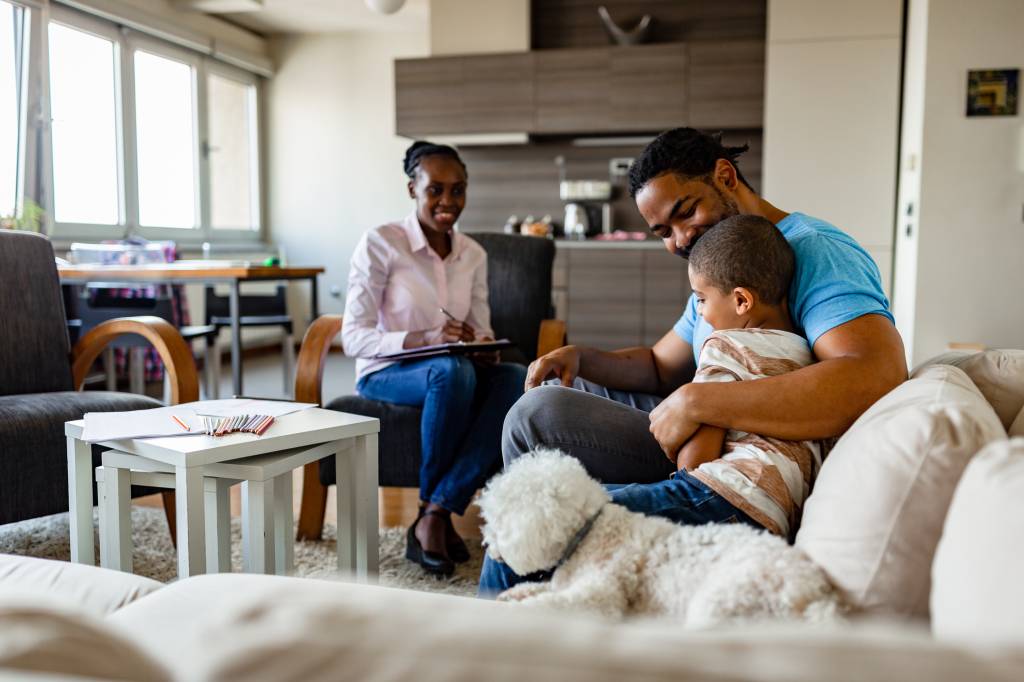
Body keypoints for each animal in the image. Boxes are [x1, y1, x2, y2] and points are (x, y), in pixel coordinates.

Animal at [477, 448, 839, 622]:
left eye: (497, 518)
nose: (487, 544)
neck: (591, 531)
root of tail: (815, 595)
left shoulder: (597, 596)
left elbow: (551, 601)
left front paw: (521, 607)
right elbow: (538, 588)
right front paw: (513, 594)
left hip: (721, 600)